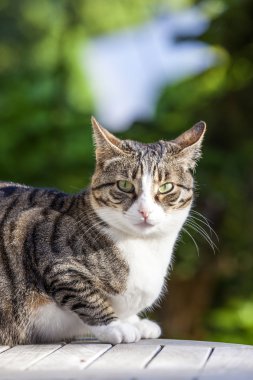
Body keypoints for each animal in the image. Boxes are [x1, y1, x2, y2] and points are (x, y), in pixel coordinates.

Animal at [0, 117, 207, 346]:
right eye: (124, 185)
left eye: (166, 187)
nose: (144, 211)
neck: (145, 246)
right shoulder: (39, 236)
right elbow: (86, 295)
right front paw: (116, 327)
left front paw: (136, 322)